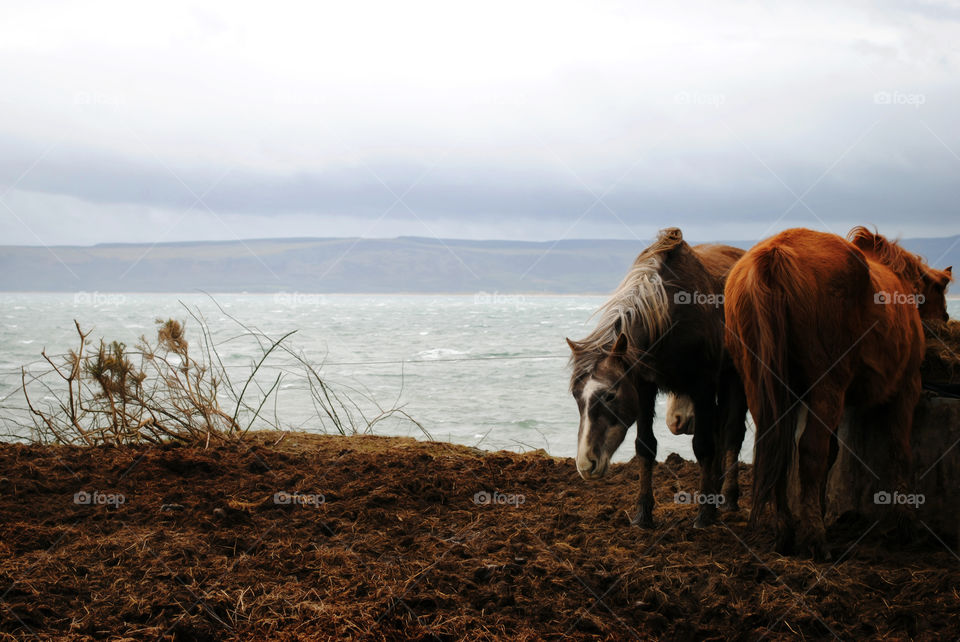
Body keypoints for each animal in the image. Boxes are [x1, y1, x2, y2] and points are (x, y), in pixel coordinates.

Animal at [566, 228, 748, 529]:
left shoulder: (703, 387)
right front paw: (643, 514)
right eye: (576, 396)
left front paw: (705, 513)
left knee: (732, 433)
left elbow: (703, 445)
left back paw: (729, 498)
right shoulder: (644, 388)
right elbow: (645, 446)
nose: (586, 465)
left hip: (737, 378)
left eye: (610, 394)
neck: (670, 316)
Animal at [724, 226, 952, 557]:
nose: (947, 320)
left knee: (778, 447)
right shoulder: (906, 388)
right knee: (809, 452)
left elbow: (832, 454)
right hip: (826, 385)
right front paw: (906, 523)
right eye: (943, 304)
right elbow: (899, 451)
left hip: (760, 385)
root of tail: (774, 254)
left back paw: (786, 531)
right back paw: (816, 540)